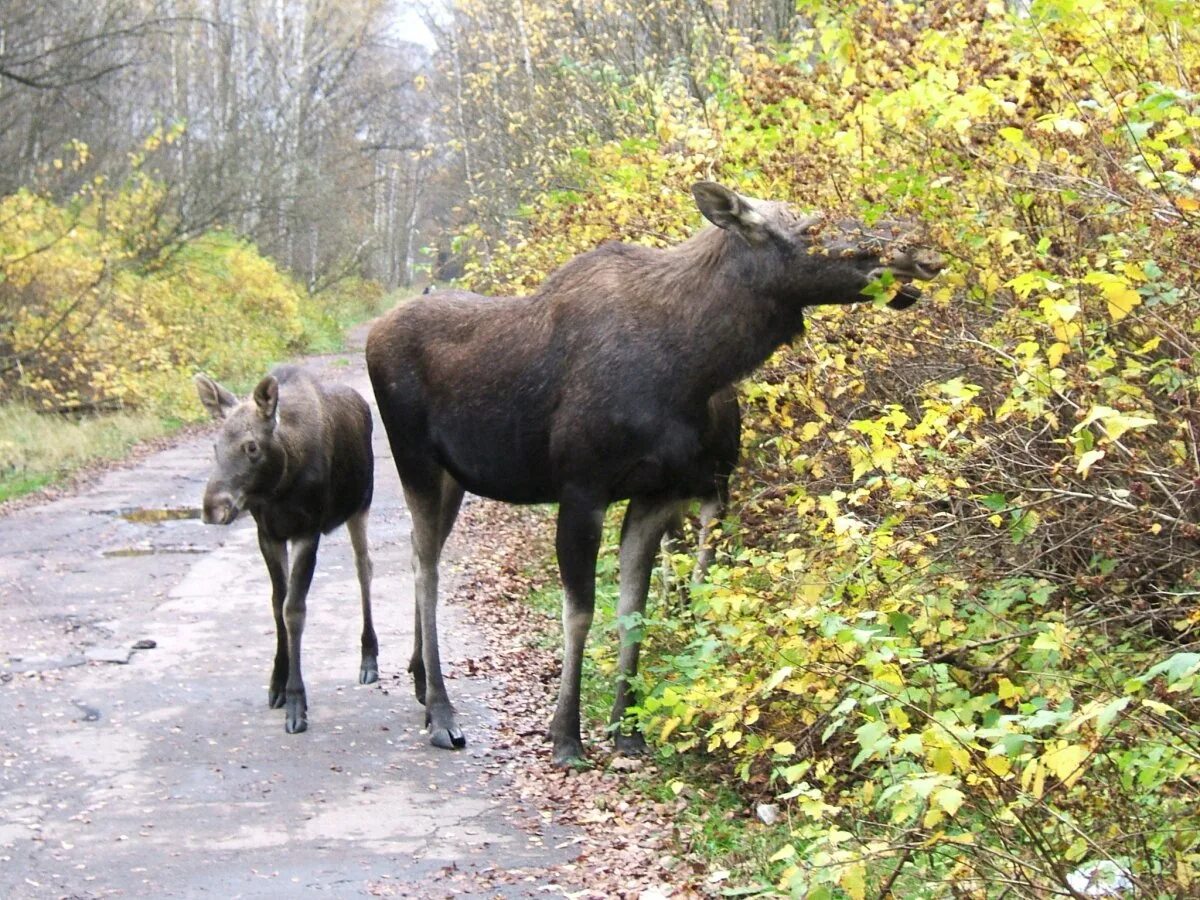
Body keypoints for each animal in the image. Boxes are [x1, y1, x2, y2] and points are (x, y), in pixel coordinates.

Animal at [194, 364, 376, 734]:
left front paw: (296, 701)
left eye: (251, 447)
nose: (213, 508)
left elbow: (294, 610)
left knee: (364, 568)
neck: (280, 485)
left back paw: (369, 659)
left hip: (360, 506)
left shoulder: (308, 531)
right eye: (215, 446)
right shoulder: (269, 534)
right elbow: (277, 603)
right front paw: (277, 683)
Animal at [364, 183, 945, 768]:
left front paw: (627, 729)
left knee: (419, 553)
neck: (692, 367)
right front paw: (566, 734)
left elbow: (634, 609)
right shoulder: (582, 488)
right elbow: (581, 613)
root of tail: (374, 332)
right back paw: (442, 712)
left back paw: (420, 682)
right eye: (810, 229)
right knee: (426, 569)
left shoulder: (661, 493)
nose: (920, 249)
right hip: (414, 458)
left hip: (454, 477)